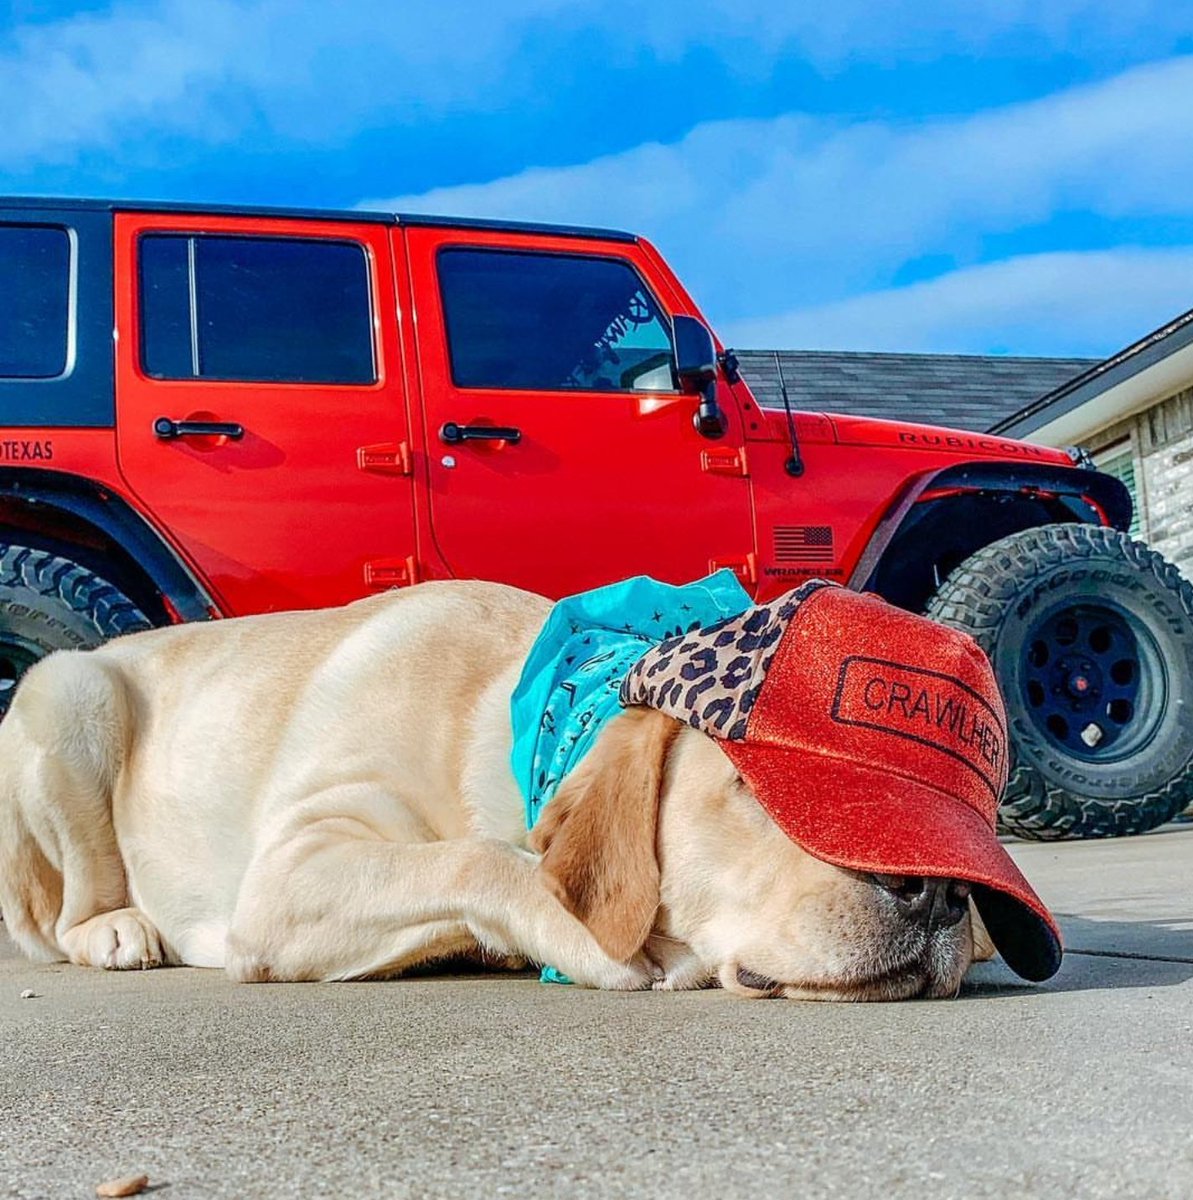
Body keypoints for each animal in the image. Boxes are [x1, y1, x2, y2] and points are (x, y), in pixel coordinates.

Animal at [0, 576, 1060, 998]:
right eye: (747, 788)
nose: (936, 892)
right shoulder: (291, 871)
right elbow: (485, 859)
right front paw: (602, 944)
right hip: (68, 692)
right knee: (65, 913)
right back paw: (116, 930)